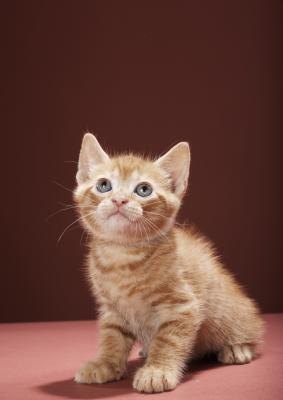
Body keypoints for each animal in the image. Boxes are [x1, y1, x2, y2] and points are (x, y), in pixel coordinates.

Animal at [72, 134, 264, 394]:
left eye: (143, 190)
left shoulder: (181, 306)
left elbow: (168, 340)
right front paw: (106, 364)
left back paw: (237, 348)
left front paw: (157, 371)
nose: (119, 200)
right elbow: (112, 337)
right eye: (104, 185)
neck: (123, 255)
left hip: (233, 313)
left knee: (249, 330)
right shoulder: (112, 308)